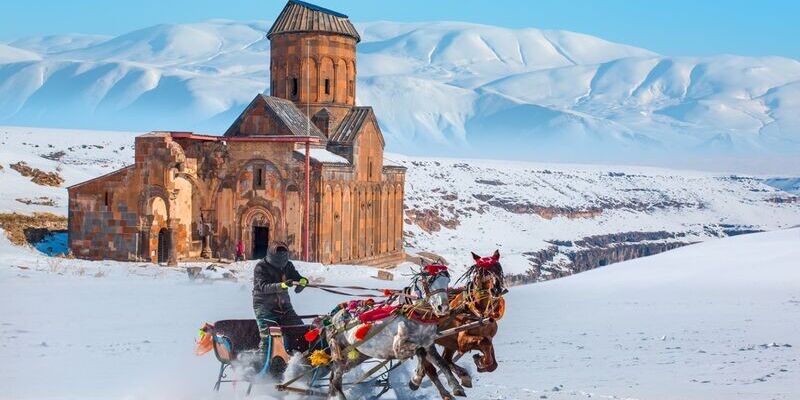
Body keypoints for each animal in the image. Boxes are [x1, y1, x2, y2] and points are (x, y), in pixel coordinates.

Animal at [324, 268, 466, 400]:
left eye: (447, 281)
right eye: (430, 280)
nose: (444, 308)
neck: (414, 314)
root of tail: (333, 318)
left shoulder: (429, 345)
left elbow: (443, 364)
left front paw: (456, 386)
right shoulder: (399, 348)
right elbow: (420, 352)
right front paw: (415, 380)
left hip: (357, 356)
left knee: (335, 379)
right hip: (339, 354)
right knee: (335, 379)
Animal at [412, 250, 506, 394]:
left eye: (498, 268)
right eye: (482, 271)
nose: (496, 289)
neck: (479, 313)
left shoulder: (489, 337)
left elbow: (492, 363)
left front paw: (481, 362)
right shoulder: (462, 341)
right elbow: (483, 343)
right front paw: (479, 360)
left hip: (448, 344)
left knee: (445, 360)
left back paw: (463, 376)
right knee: (430, 366)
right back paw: (418, 379)